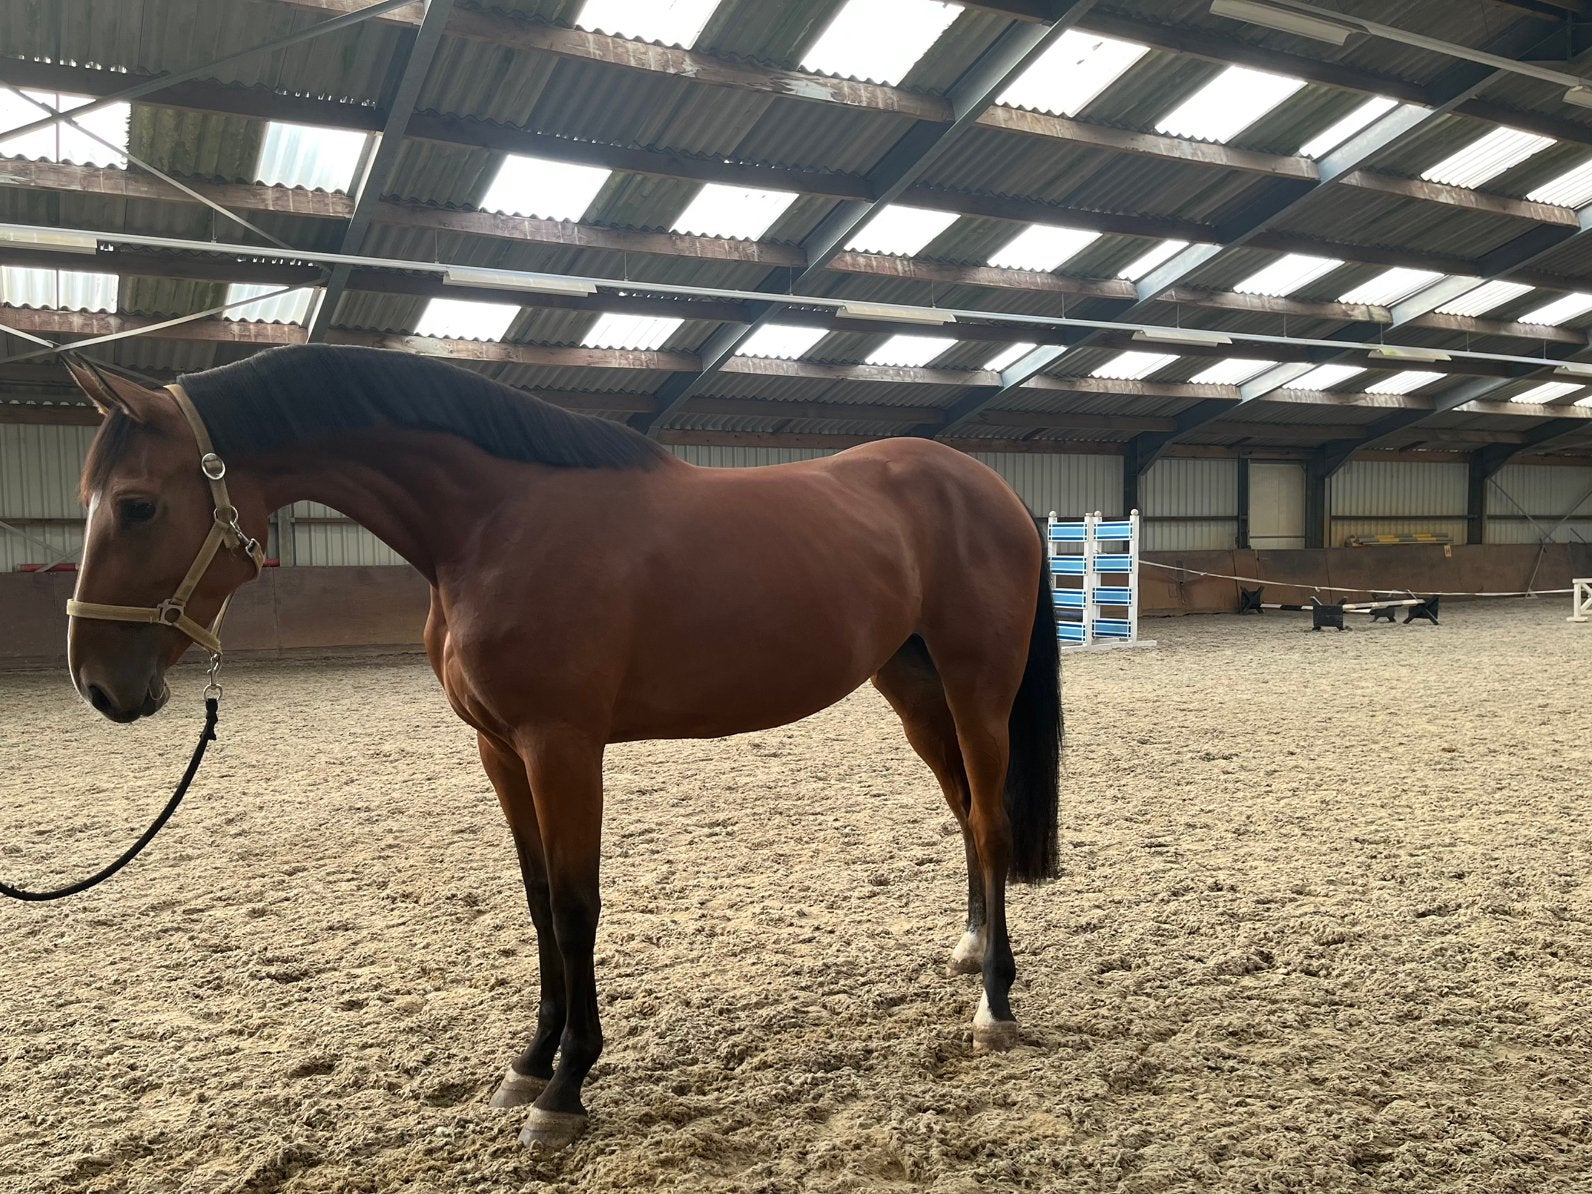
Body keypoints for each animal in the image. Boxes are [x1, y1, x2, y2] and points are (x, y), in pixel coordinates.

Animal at [61, 343, 1063, 1149]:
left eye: (138, 506)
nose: (99, 683)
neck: (495, 524)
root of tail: (992, 488)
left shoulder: (563, 746)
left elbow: (578, 906)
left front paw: (569, 1086)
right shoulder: (500, 751)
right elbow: (540, 901)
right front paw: (530, 1061)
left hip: (977, 687)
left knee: (989, 822)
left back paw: (996, 1004)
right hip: (913, 688)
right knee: (965, 812)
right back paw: (971, 949)